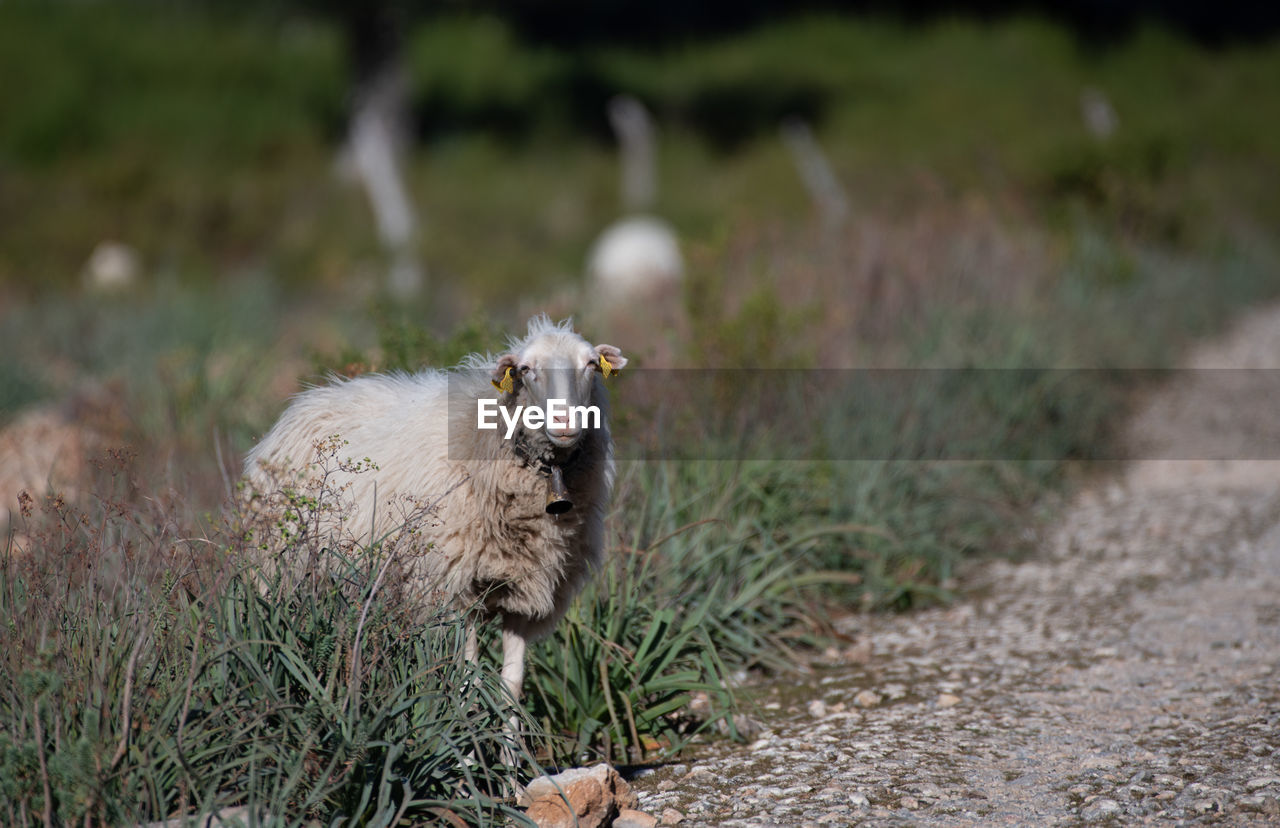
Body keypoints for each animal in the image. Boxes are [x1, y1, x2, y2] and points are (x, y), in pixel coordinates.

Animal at [241, 314, 627, 716]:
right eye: (525, 369)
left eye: (590, 365)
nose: (565, 421)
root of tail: (309, 400)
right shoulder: (453, 593)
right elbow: (468, 684)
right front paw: (468, 735)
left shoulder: (525, 595)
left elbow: (511, 687)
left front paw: (510, 736)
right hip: (280, 571)